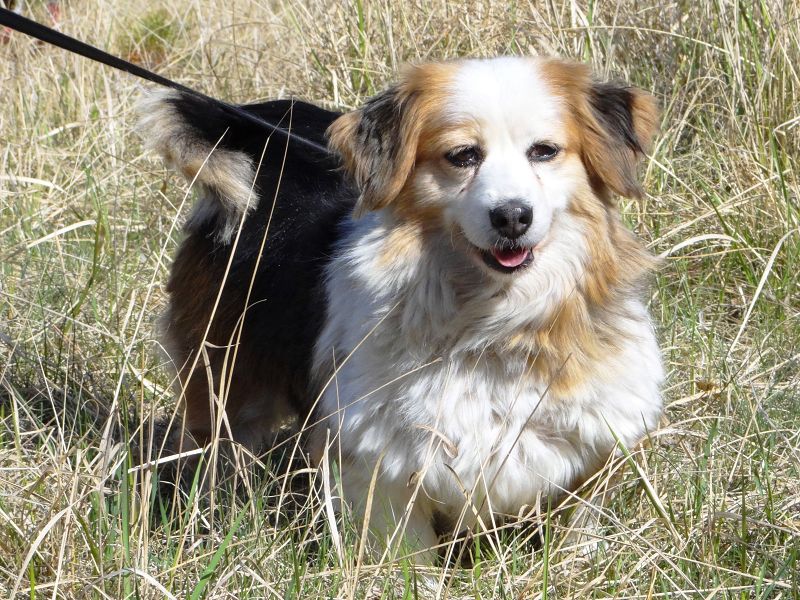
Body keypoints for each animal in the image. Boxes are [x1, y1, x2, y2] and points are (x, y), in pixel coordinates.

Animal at [138, 56, 663, 558]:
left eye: (544, 151)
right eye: (462, 156)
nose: (512, 216)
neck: (494, 325)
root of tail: (259, 138)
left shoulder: (596, 442)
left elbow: (581, 529)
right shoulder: (379, 463)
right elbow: (409, 558)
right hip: (225, 389)